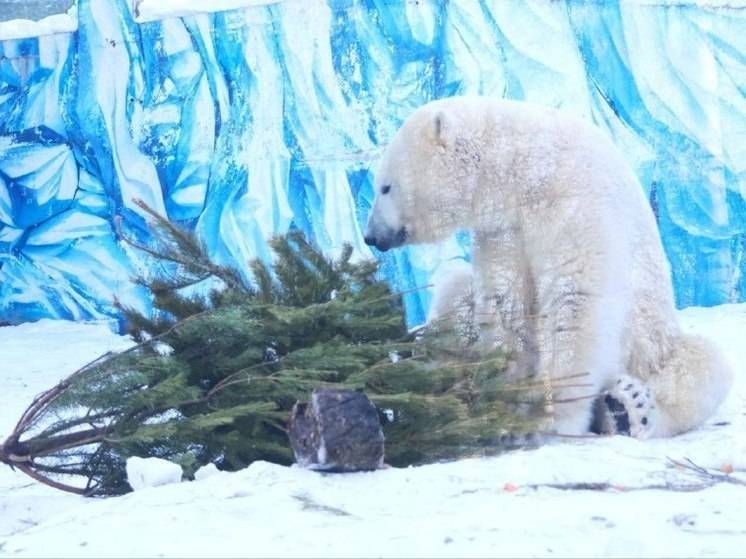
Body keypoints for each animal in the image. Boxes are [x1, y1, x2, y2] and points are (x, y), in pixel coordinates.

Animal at [364, 95, 728, 438]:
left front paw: (551, 417)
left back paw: (627, 408)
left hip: (651, 343)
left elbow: (575, 301)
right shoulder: (504, 229)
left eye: (385, 186)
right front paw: (507, 395)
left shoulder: (572, 202)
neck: (525, 167)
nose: (370, 236)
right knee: (456, 295)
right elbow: (505, 303)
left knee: (702, 367)